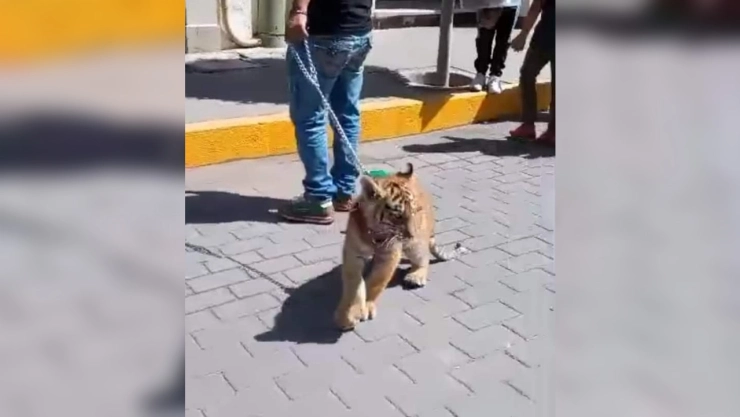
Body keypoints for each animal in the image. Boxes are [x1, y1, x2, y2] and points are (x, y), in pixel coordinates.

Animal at [334, 163, 469, 331]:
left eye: (414, 211)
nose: (411, 234)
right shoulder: (353, 252)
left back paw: (416, 276)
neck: (375, 231)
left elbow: (377, 281)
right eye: (398, 215)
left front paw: (367, 305)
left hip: (416, 245)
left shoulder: (390, 254)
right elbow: (354, 283)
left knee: (423, 259)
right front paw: (349, 314)